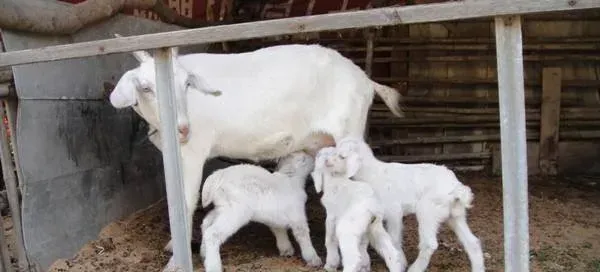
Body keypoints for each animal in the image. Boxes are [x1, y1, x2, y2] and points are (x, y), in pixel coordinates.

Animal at [110, 42, 406, 253]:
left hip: (349, 129)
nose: (182, 128)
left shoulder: (194, 150)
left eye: (186, 84)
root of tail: (366, 80)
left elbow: (186, 200)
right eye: (145, 88)